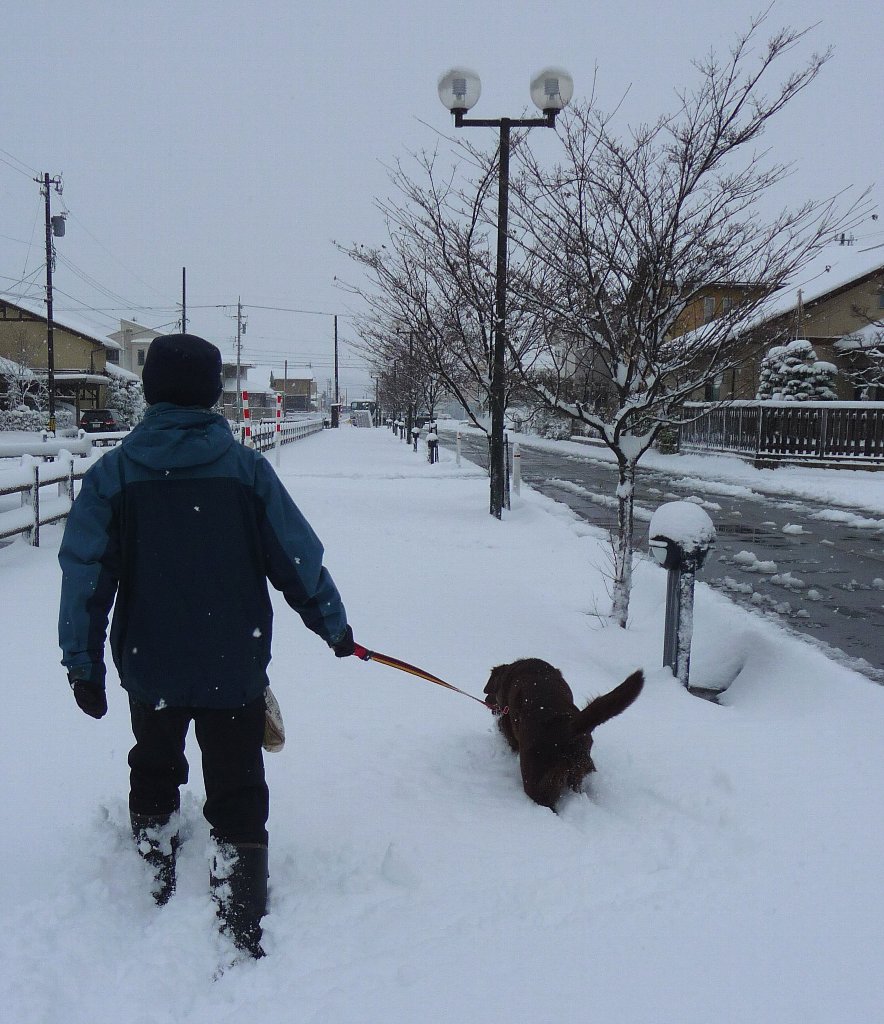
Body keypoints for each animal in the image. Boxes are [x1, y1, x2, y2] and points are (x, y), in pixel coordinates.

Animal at [484, 659, 644, 810]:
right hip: (580, 769)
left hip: (536, 779)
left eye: (492, 692)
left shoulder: (507, 723)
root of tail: (570, 726)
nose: (485, 700)